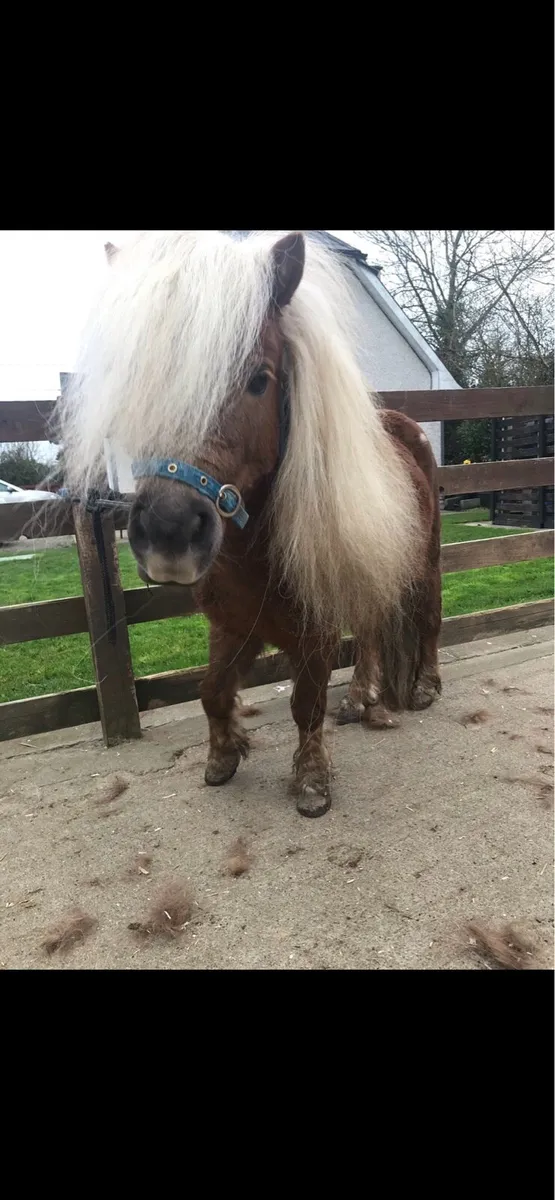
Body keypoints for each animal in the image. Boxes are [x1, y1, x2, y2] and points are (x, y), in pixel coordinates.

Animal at [62, 230, 441, 818]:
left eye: (260, 380)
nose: (170, 534)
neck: (254, 555)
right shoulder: (233, 627)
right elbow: (211, 691)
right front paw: (224, 755)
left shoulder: (312, 635)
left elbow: (306, 704)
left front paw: (311, 781)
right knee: (374, 628)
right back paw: (361, 698)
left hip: (422, 564)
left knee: (425, 617)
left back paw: (422, 687)